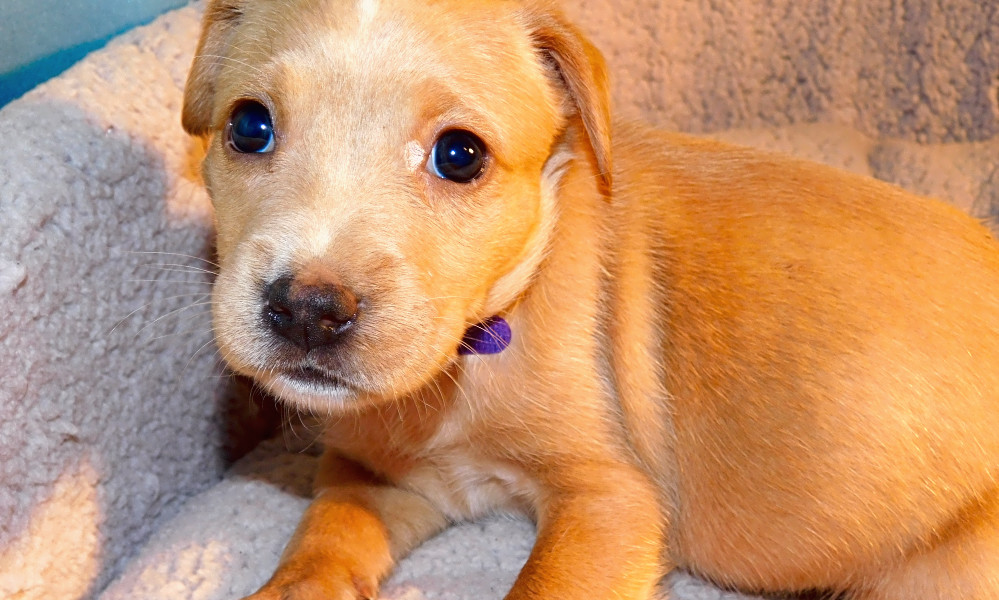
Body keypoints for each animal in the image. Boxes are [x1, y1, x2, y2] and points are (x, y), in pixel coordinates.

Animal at [180, 1, 999, 600]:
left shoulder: (610, 501)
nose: (307, 310)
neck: (478, 350)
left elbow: (542, 586)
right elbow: (323, 537)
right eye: (250, 125)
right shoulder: (378, 473)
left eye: (459, 155)